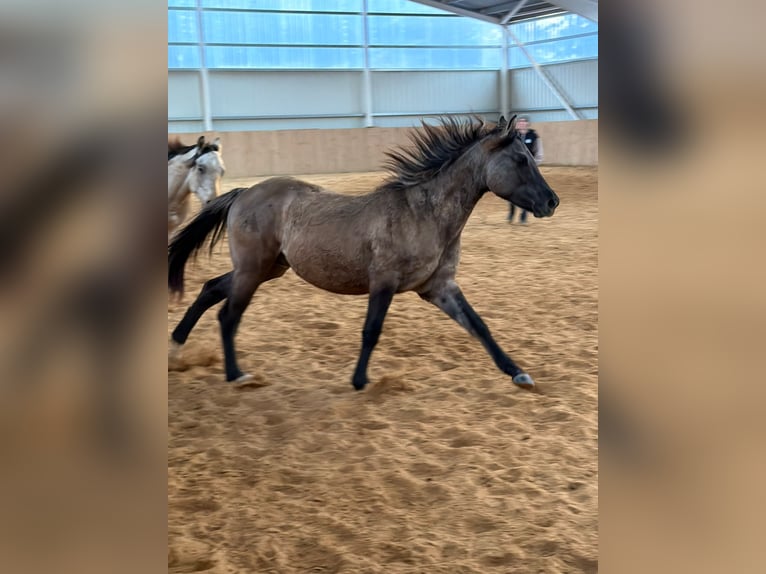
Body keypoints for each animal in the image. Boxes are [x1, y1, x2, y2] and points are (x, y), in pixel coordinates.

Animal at [168, 115, 559, 390]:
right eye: (521, 160)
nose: (552, 202)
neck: (424, 214)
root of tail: (244, 193)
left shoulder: (439, 287)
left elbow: (479, 325)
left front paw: (519, 374)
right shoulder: (384, 281)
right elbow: (372, 330)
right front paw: (360, 382)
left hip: (268, 268)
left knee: (211, 289)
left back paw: (176, 347)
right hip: (253, 269)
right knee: (229, 315)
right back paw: (236, 375)